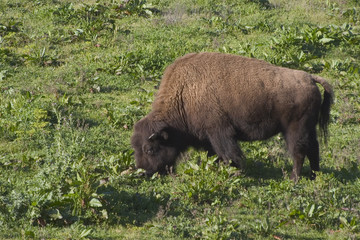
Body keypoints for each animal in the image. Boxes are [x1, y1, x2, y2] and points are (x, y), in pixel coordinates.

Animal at [130, 52, 334, 180]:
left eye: (149, 149)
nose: (143, 172)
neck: (184, 94)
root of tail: (310, 78)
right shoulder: (208, 139)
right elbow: (215, 155)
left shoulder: (220, 133)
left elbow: (230, 154)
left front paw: (235, 172)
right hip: (309, 129)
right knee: (313, 149)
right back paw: (314, 176)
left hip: (294, 129)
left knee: (298, 152)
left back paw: (294, 179)